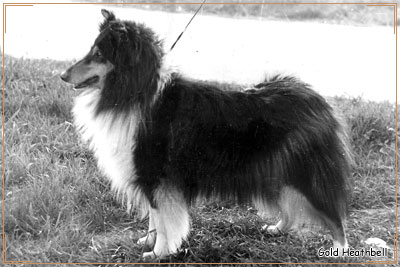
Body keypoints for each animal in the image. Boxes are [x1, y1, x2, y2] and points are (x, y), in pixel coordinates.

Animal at [61, 9, 352, 260]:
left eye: (99, 54)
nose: (63, 75)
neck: (137, 93)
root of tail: (316, 99)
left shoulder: (157, 176)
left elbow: (164, 221)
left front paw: (158, 252)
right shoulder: (148, 178)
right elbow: (154, 217)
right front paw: (148, 241)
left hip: (304, 170)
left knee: (333, 214)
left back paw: (339, 249)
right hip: (277, 168)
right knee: (289, 206)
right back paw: (277, 228)